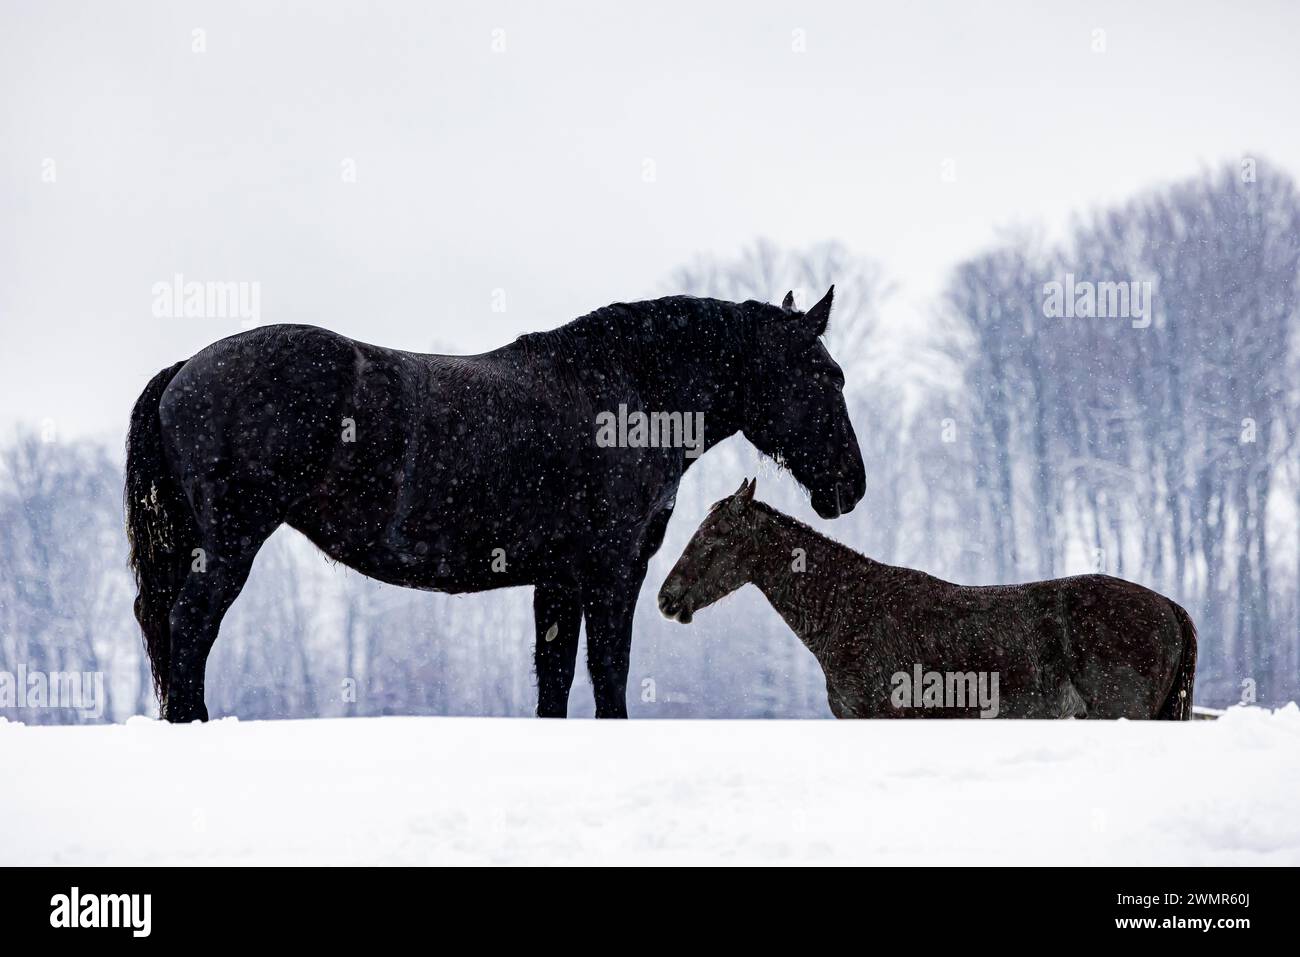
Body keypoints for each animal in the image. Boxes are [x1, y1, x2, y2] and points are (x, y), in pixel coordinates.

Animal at [126, 287, 868, 722]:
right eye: (824, 373)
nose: (851, 486)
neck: (626, 393)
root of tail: (187, 367)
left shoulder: (558, 579)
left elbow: (555, 678)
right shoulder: (612, 571)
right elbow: (609, 673)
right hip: (228, 545)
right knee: (189, 629)